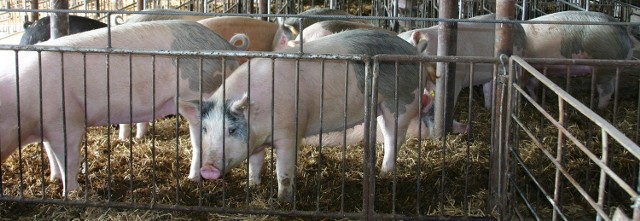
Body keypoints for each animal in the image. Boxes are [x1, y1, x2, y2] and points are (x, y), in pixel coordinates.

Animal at [0, 20, 245, 193]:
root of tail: (226, 46)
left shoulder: (68, 120)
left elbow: (67, 157)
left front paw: (70, 192)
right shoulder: (47, 125)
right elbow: (51, 154)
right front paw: (54, 179)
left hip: (200, 94)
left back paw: (193, 179)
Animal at [190, 28, 428, 200]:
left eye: (231, 130)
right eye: (205, 129)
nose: (207, 169)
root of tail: (413, 52)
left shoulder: (290, 132)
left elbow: (283, 172)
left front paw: (284, 200)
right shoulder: (254, 141)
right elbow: (254, 164)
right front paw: (252, 186)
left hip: (401, 101)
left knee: (394, 137)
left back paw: (385, 174)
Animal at [398, 13, 528, 134]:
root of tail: (519, 25)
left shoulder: (455, 79)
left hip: (515, 62)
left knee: (514, 89)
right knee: (488, 87)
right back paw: (489, 108)